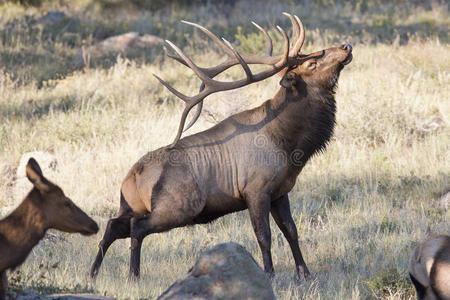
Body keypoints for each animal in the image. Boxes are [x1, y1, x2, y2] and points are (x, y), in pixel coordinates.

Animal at [90, 13, 352, 282]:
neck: (289, 146)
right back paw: (133, 274)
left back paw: (93, 272)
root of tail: (131, 177)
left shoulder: (281, 191)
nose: (346, 46)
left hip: (131, 205)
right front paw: (269, 274)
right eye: (312, 63)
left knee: (112, 225)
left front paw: (305, 273)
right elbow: (264, 236)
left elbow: (291, 231)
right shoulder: (256, 189)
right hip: (177, 207)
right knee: (137, 227)